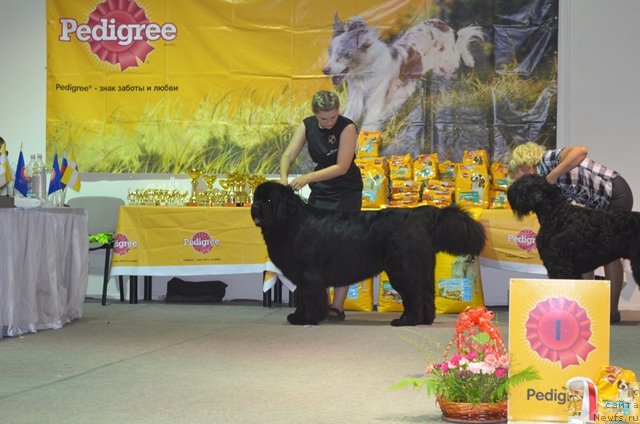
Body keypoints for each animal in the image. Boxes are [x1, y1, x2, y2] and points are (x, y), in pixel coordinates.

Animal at [250, 181, 484, 326]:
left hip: (403, 269)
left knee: (415, 296)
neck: (289, 220)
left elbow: (308, 298)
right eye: (255, 198)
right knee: (426, 295)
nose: (254, 208)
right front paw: (297, 316)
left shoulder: (309, 276)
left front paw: (306, 319)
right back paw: (424, 321)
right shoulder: (303, 277)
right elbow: (301, 298)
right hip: (421, 269)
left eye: (268, 201)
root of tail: (419, 214)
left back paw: (405, 321)